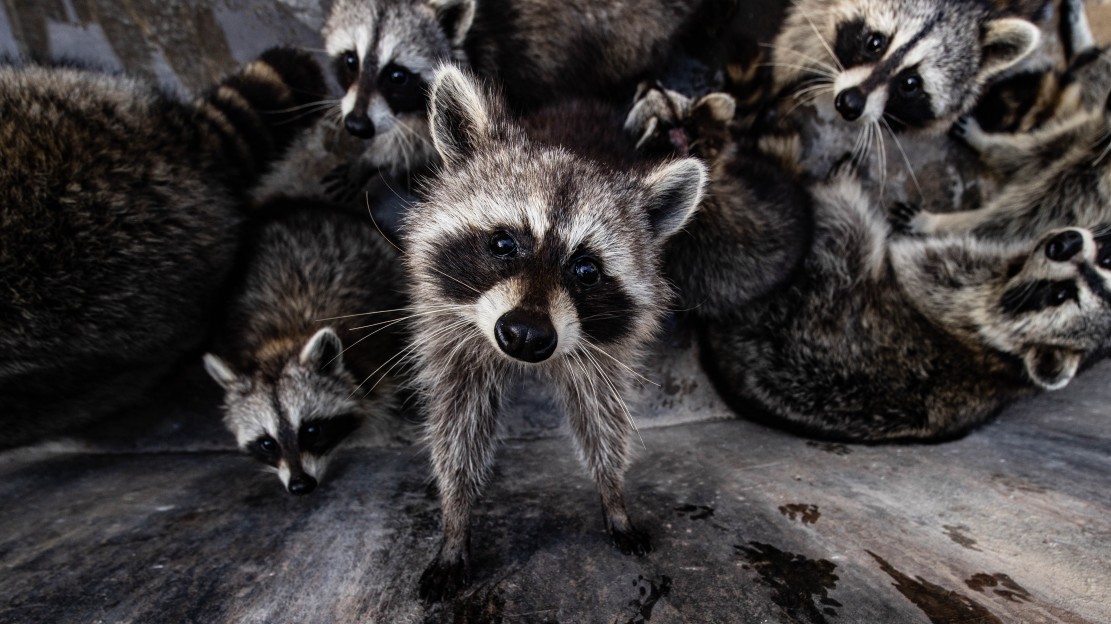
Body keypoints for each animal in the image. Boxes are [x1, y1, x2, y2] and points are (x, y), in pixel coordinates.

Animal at [203, 199, 408, 495]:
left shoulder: (380, 348)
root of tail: (294, 209)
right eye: (268, 443)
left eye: (311, 430)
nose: (301, 486)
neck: (282, 342)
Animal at [406, 65, 702, 599]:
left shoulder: (606, 350)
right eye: (503, 243)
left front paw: (614, 496)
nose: (525, 334)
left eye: (587, 270)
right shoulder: (447, 326)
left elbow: (602, 417)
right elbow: (458, 421)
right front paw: (455, 516)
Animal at [697, 158, 1111, 441]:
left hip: (819, 288)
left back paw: (839, 185)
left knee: (850, 222)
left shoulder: (951, 280)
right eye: (1108, 259)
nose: (1065, 242)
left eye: (1059, 295)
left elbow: (909, 259)